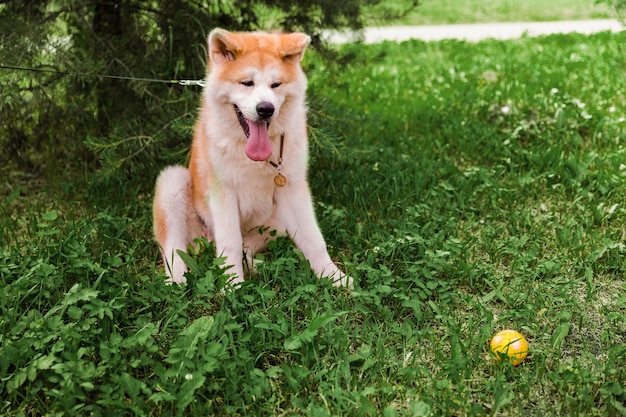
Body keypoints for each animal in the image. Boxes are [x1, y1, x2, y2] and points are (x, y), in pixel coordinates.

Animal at [149, 28, 348, 286]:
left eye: (276, 84)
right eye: (247, 83)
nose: (265, 109)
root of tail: (206, 240)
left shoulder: (294, 190)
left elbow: (313, 239)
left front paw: (333, 276)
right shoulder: (223, 193)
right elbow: (229, 244)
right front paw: (232, 284)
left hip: (276, 224)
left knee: (245, 249)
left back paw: (261, 267)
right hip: (173, 183)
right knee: (174, 249)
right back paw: (177, 280)